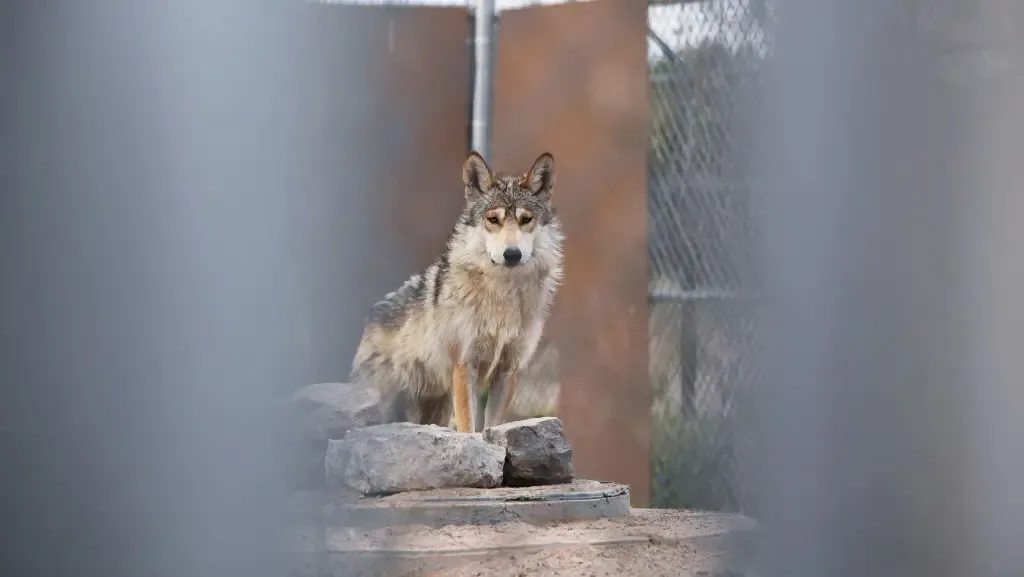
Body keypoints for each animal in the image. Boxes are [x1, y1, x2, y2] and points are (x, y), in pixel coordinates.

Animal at [350, 151, 564, 433]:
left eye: (525, 219)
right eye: (493, 219)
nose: (512, 254)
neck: (502, 294)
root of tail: (370, 317)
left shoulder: (508, 370)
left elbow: (492, 426)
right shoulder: (464, 365)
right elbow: (467, 426)